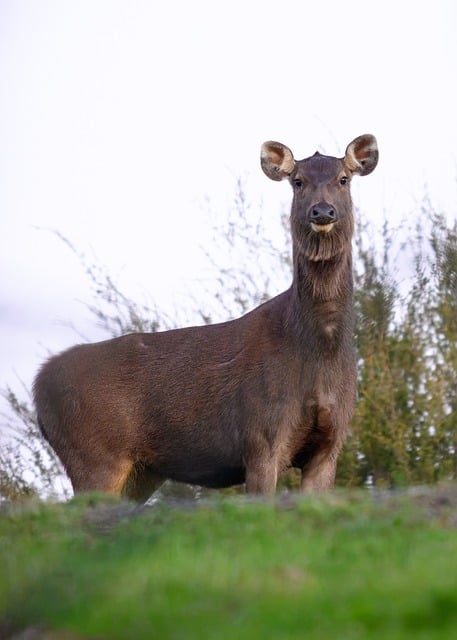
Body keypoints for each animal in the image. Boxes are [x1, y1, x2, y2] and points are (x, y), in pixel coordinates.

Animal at [33, 134, 378, 501]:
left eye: (343, 179)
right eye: (298, 181)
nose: (322, 211)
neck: (318, 356)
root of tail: (38, 387)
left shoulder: (329, 445)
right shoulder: (260, 436)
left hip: (139, 472)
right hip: (95, 454)